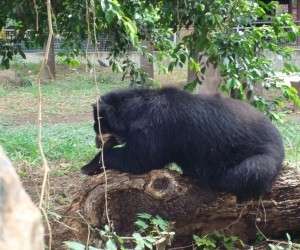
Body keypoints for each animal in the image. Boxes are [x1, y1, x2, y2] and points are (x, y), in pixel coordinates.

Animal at [81, 87, 284, 199]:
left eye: (98, 126)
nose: (97, 142)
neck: (138, 110)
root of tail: (279, 140)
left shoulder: (159, 129)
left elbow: (140, 158)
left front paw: (88, 167)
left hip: (263, 156)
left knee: (254, 171)